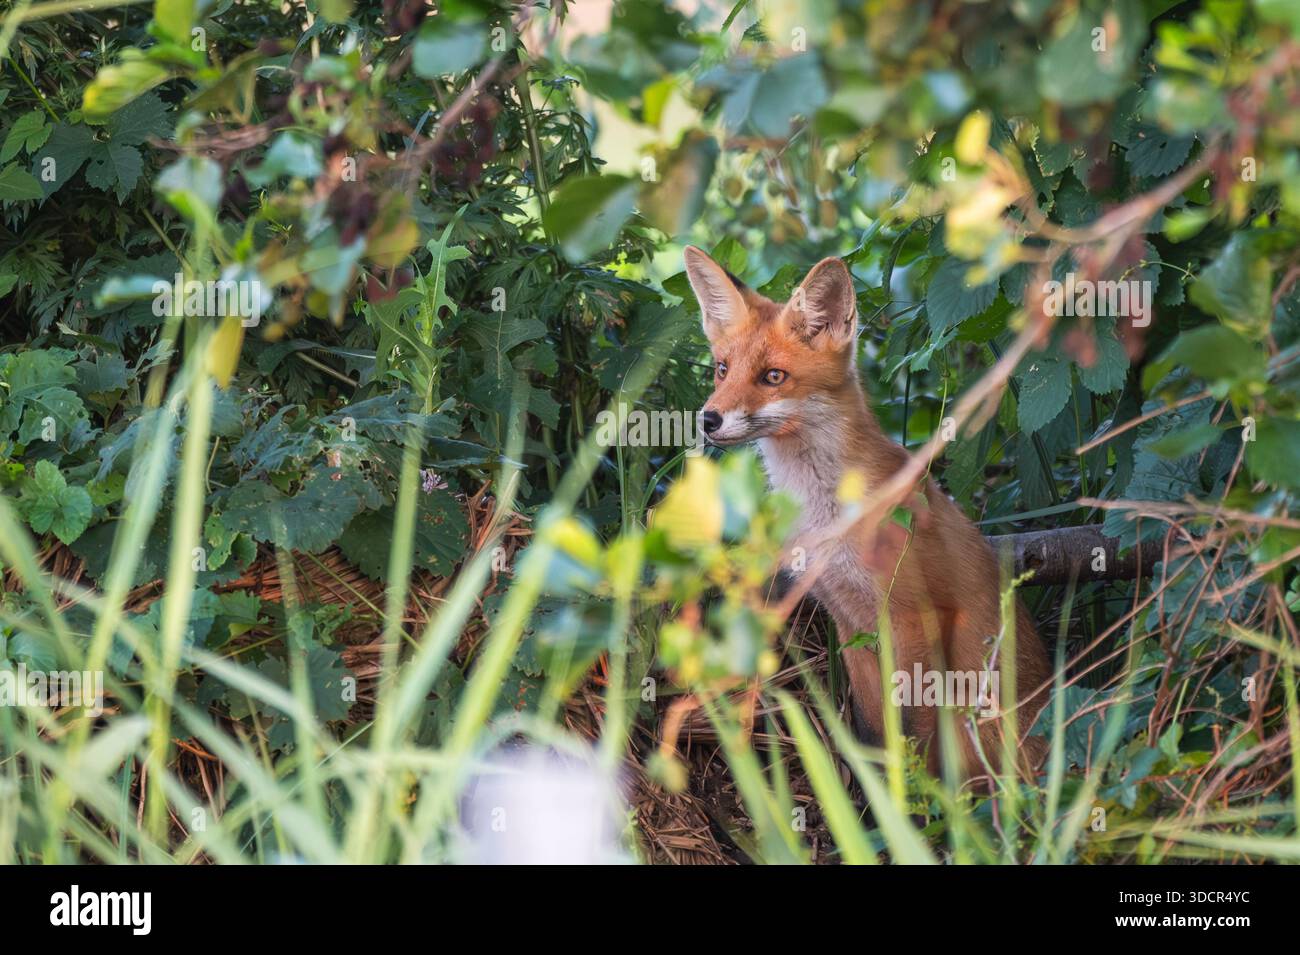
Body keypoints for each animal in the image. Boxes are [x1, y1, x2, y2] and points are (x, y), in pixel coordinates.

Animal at [683, 246, 1050, 779]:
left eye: (773, 377)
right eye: (722, 369)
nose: (708, 419)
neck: (827, 515)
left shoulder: (913, 617)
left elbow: (916, 737)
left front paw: (916, 801)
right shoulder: (849, 623)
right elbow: (874, 733)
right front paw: (874, 794)